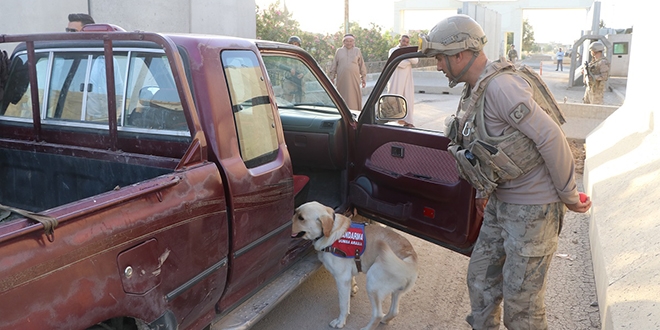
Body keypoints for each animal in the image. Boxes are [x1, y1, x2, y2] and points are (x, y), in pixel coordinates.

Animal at [290, 201, 416, 330]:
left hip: (372, 283)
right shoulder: (348, 273)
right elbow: (351, 281)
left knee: (377, 314)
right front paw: (353, 287)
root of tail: (410, 256)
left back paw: (367, 327)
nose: (289, 224)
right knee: (394, 311)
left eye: (301, 218)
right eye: (295, 212)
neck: (332, 232)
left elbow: (343, 304)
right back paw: (386, 319)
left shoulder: (342, 278)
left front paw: (340, 321)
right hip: (396, 291)